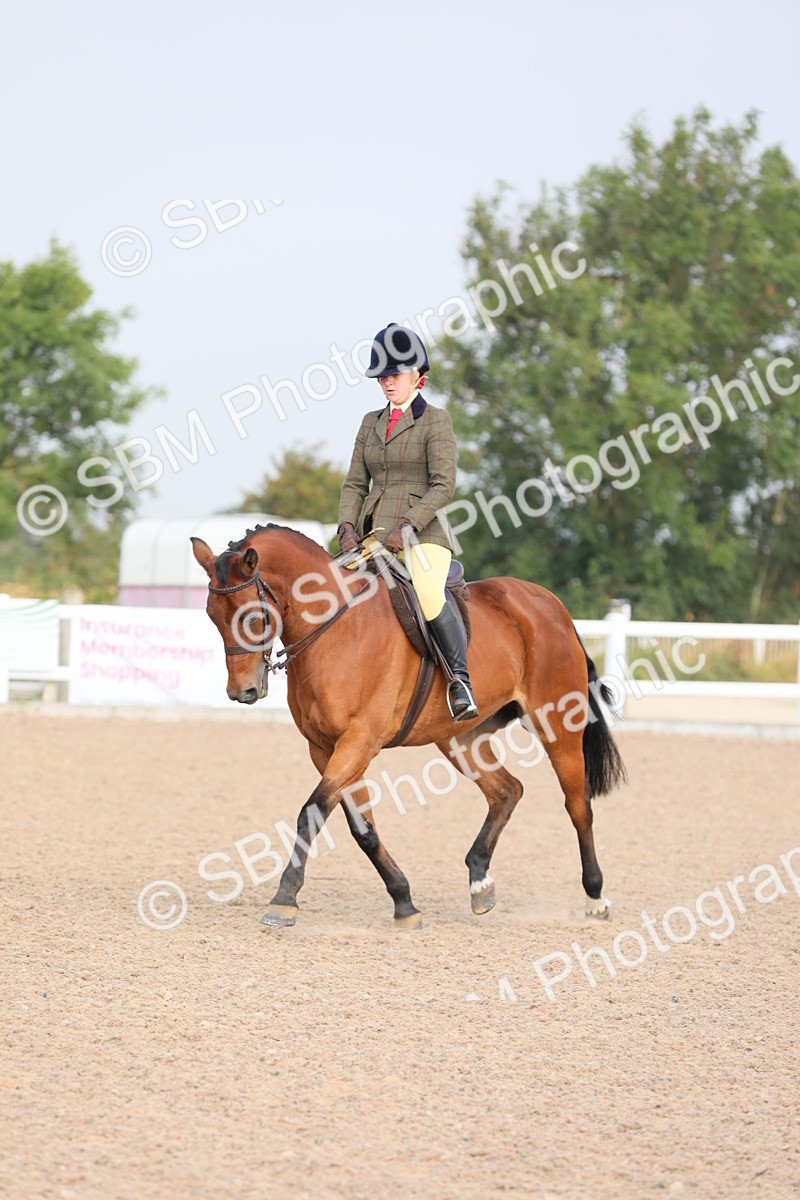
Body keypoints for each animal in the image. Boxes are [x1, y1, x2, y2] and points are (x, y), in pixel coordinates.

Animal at [191, 524, 626, 930]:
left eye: (251, 617)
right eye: (212, 616)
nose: (242, 692)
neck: (336, 630)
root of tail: (550, 605)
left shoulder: (358, 741)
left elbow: (311, 812)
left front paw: (284, 899)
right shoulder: (325, 748)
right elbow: (362, 828)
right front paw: (404, 902)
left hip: (557, 724)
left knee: (577, 805)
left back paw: (595, 897)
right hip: (460, 740)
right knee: (507, 791)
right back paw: (479, 883)